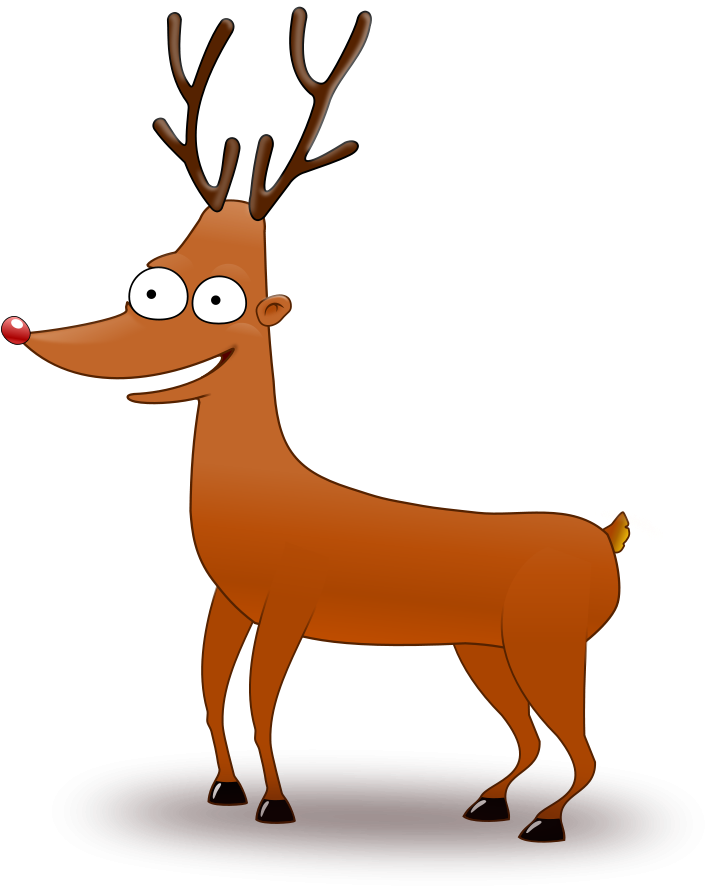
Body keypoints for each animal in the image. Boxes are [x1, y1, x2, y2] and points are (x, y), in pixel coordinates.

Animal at [3, 5, 638, 843]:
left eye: (215, 299)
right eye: (150, 283)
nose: (23, 333)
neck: (262, 489)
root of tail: (607, 537)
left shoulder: (289, 604)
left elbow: (259, 700)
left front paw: (275, 803)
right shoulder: (229, 601)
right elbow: (212, 691)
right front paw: (226, 789)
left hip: (549, 643)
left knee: (584, 747)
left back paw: (544, 823)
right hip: (482, 648)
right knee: (532, 736)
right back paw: (490, 802)